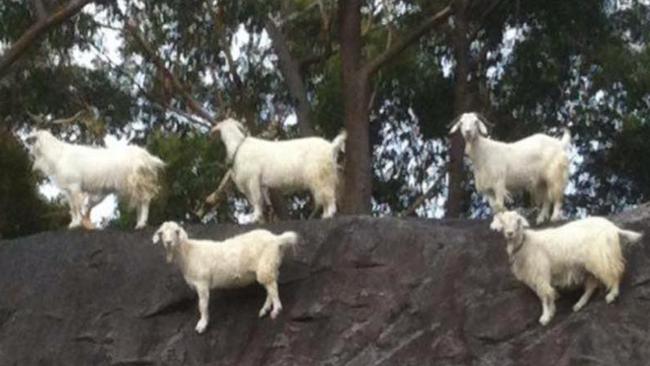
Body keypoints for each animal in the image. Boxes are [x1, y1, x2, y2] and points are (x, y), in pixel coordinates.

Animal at [152, 222, 296, 334]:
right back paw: (264, 310)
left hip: (265, 265)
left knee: (272, 286)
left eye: (176, 231)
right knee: (270, 287)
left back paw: (276, 310)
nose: (168, 242)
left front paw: (202, 325)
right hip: (269, 266)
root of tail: (276, 239)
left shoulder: (202, 282)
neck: (188, 253)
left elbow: (202, 305)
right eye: (161, 233)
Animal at [211, 118, 344, 222]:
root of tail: (331, 147)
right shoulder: (261, 184)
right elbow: (261, 200)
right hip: (322, 176)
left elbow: (256, 199)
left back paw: (330, 214)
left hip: (321, 174)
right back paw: (325, 215)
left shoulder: (252, 179)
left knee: (328, 195)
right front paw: (260, 216)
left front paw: (255, 217)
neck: (238, 147)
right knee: (325, 195)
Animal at [492, 210, 636, 324]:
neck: (525, 244)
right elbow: (547, 293)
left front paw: (545, 317)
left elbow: (544, 295)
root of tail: (613, 228)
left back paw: (612, 295)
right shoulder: (539, 275)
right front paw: (551, 312)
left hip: (601, 256)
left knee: (615, 271)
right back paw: (579, 305)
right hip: (589, 264)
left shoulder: (541, 272)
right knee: (592, 285)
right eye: (502, 222)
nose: (510, 233)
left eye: (518, 221)